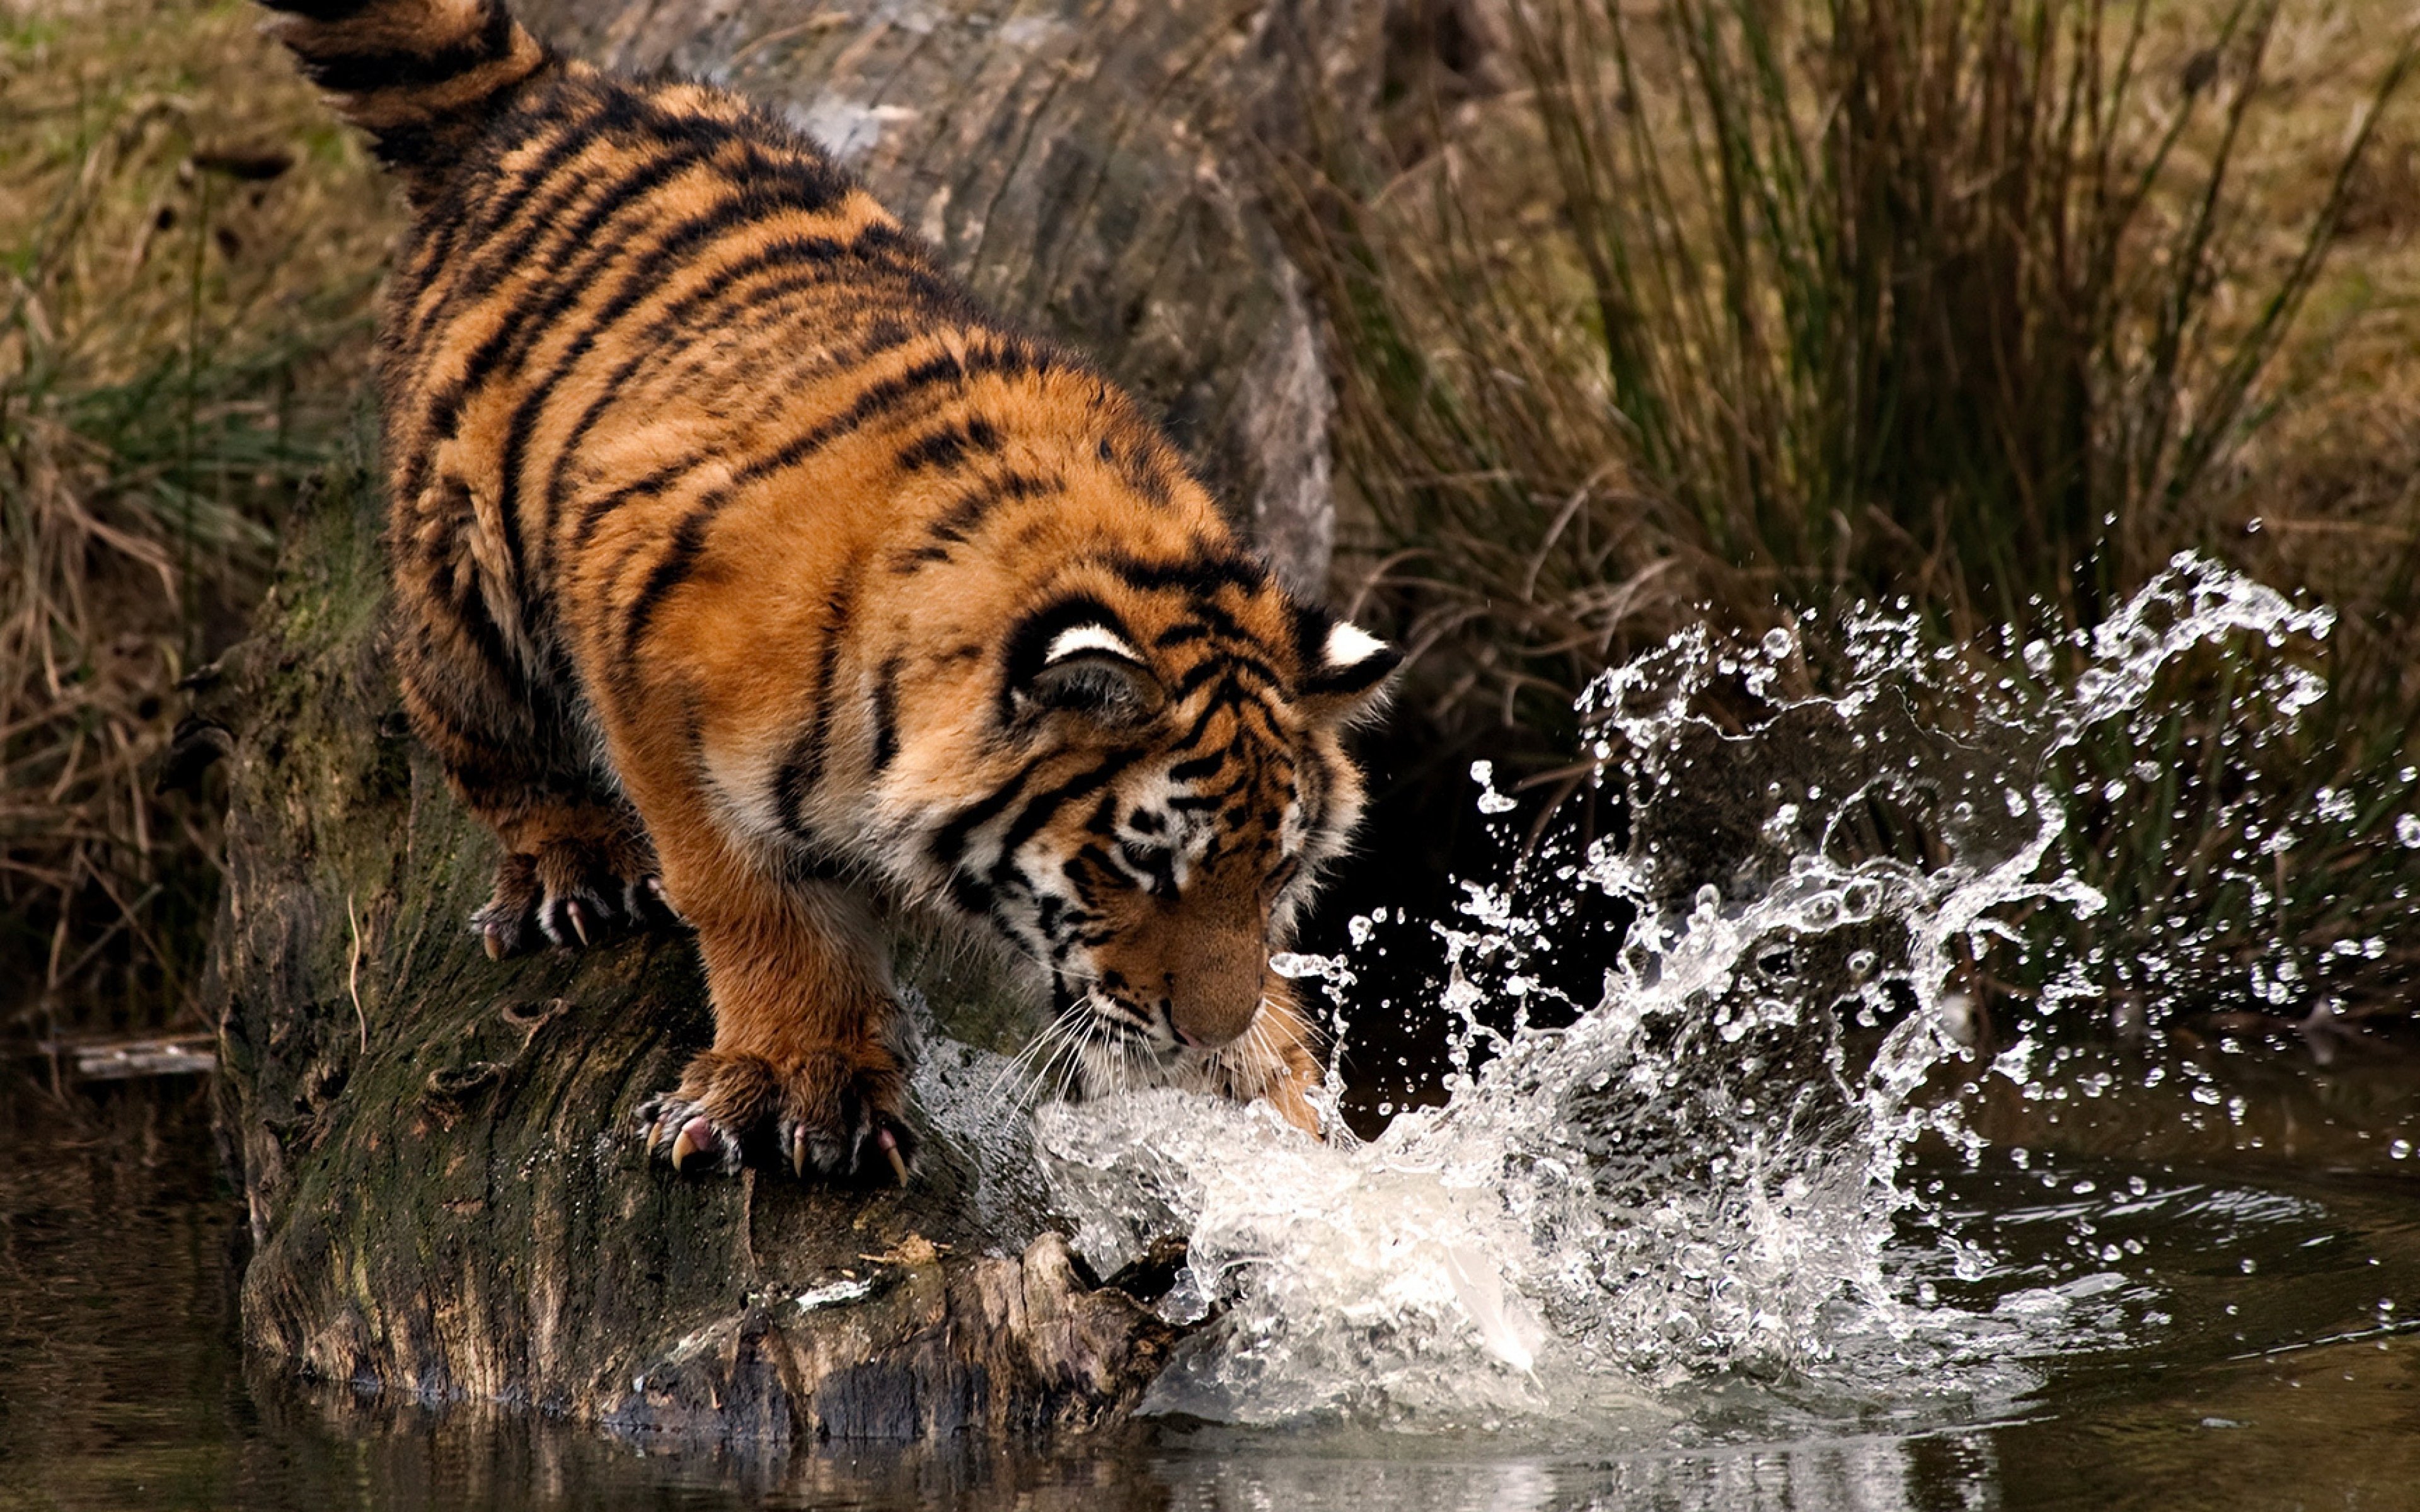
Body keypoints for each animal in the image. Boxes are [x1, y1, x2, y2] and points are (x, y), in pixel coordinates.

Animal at [260, 0, 1398, 1182]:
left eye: (1274, 874)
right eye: (1145, 865)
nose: (1208, 1031)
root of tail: (557, 85)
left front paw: (1284, 1100)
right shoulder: (654, 671)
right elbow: (757, 906)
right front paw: (797, 1084)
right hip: (466, 573)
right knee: (476, 725)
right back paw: (574, 870)